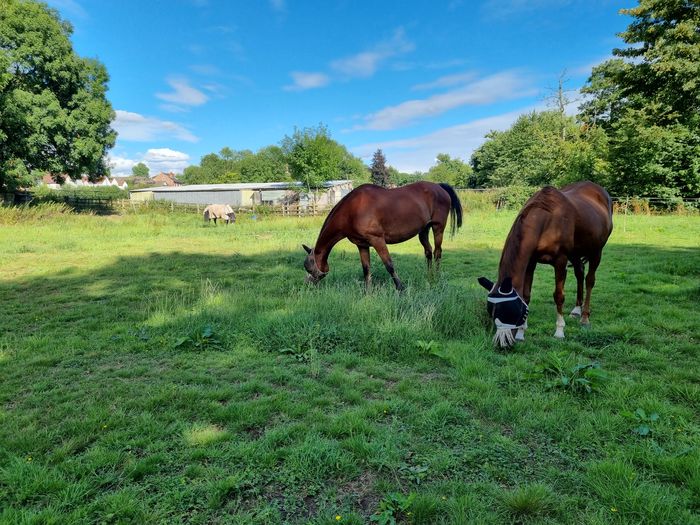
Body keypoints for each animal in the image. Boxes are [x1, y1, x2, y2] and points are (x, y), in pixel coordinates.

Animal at [302, 181, 462, 290]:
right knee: (428, 252)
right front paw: (367, 293)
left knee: (437, 252)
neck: (352, 210)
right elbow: (366, 269)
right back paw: (429, 276)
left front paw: (401, 288)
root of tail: (439, 186)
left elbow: (389, 265)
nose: (307, 285)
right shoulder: (362, 245)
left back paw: (437, 277)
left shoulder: (377, 240)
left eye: (309, 268)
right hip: (423, 231)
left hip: (438, 228)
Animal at [476, 181, 612, 348]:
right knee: (579, 272)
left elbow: (559, 296)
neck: (547, 219)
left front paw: (559, 331)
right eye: (492, 313)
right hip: (575, 253)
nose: (504, 344)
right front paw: (521, 333)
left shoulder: (560, 261)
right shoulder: (531, 263)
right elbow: (526, 296)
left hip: (596, 251)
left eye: (510, 312)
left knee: (589, 280)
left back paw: (585, 317)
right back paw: (576, 310)